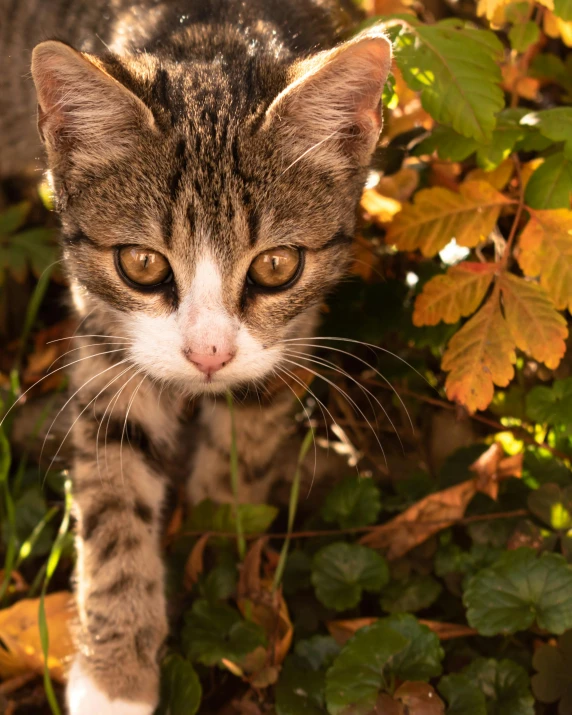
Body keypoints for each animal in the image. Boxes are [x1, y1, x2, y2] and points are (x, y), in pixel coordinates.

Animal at [0, 1, 392, 712]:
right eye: (142, 262)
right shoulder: (110, 337)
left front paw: (214, 539)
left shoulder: (287, 337)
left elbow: (246, 440)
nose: (207, 352)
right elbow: (114, 491)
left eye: (276, 266)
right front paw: (115, 676)